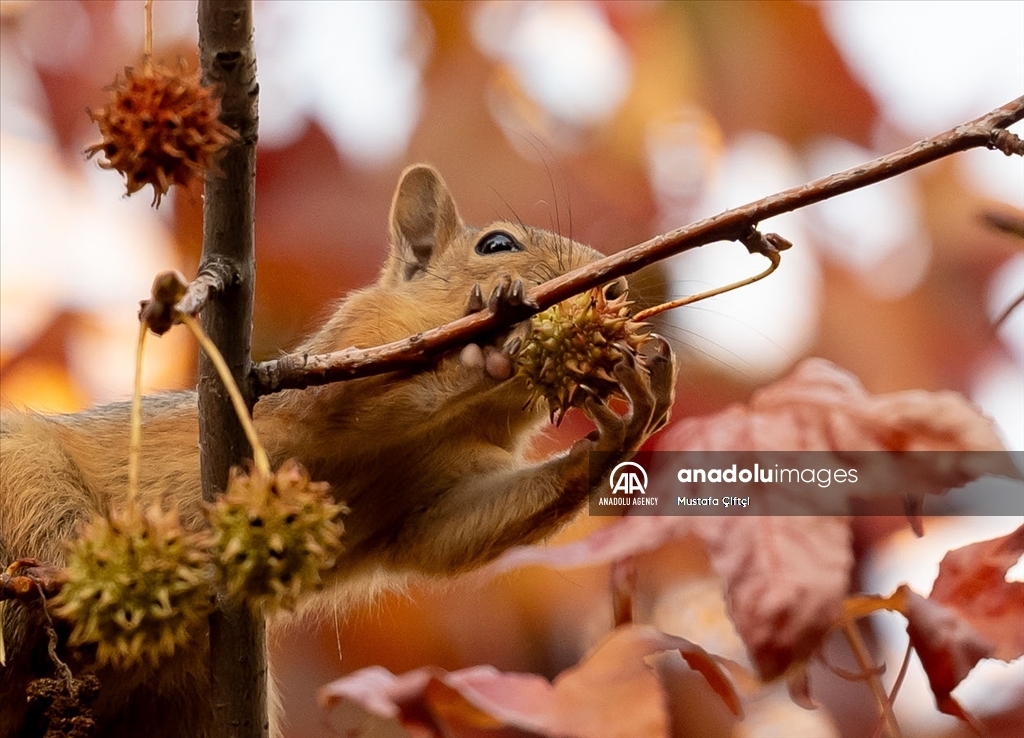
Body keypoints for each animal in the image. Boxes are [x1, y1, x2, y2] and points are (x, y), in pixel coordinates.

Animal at [0, 165, 675, 736]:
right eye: (497, 244)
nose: (615, 285)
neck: (450, 426)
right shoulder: (327, 366)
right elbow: (340, 400)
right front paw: (485, 341)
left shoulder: (433, 500)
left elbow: (446, 536)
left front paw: (624, 427)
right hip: (26, 485)